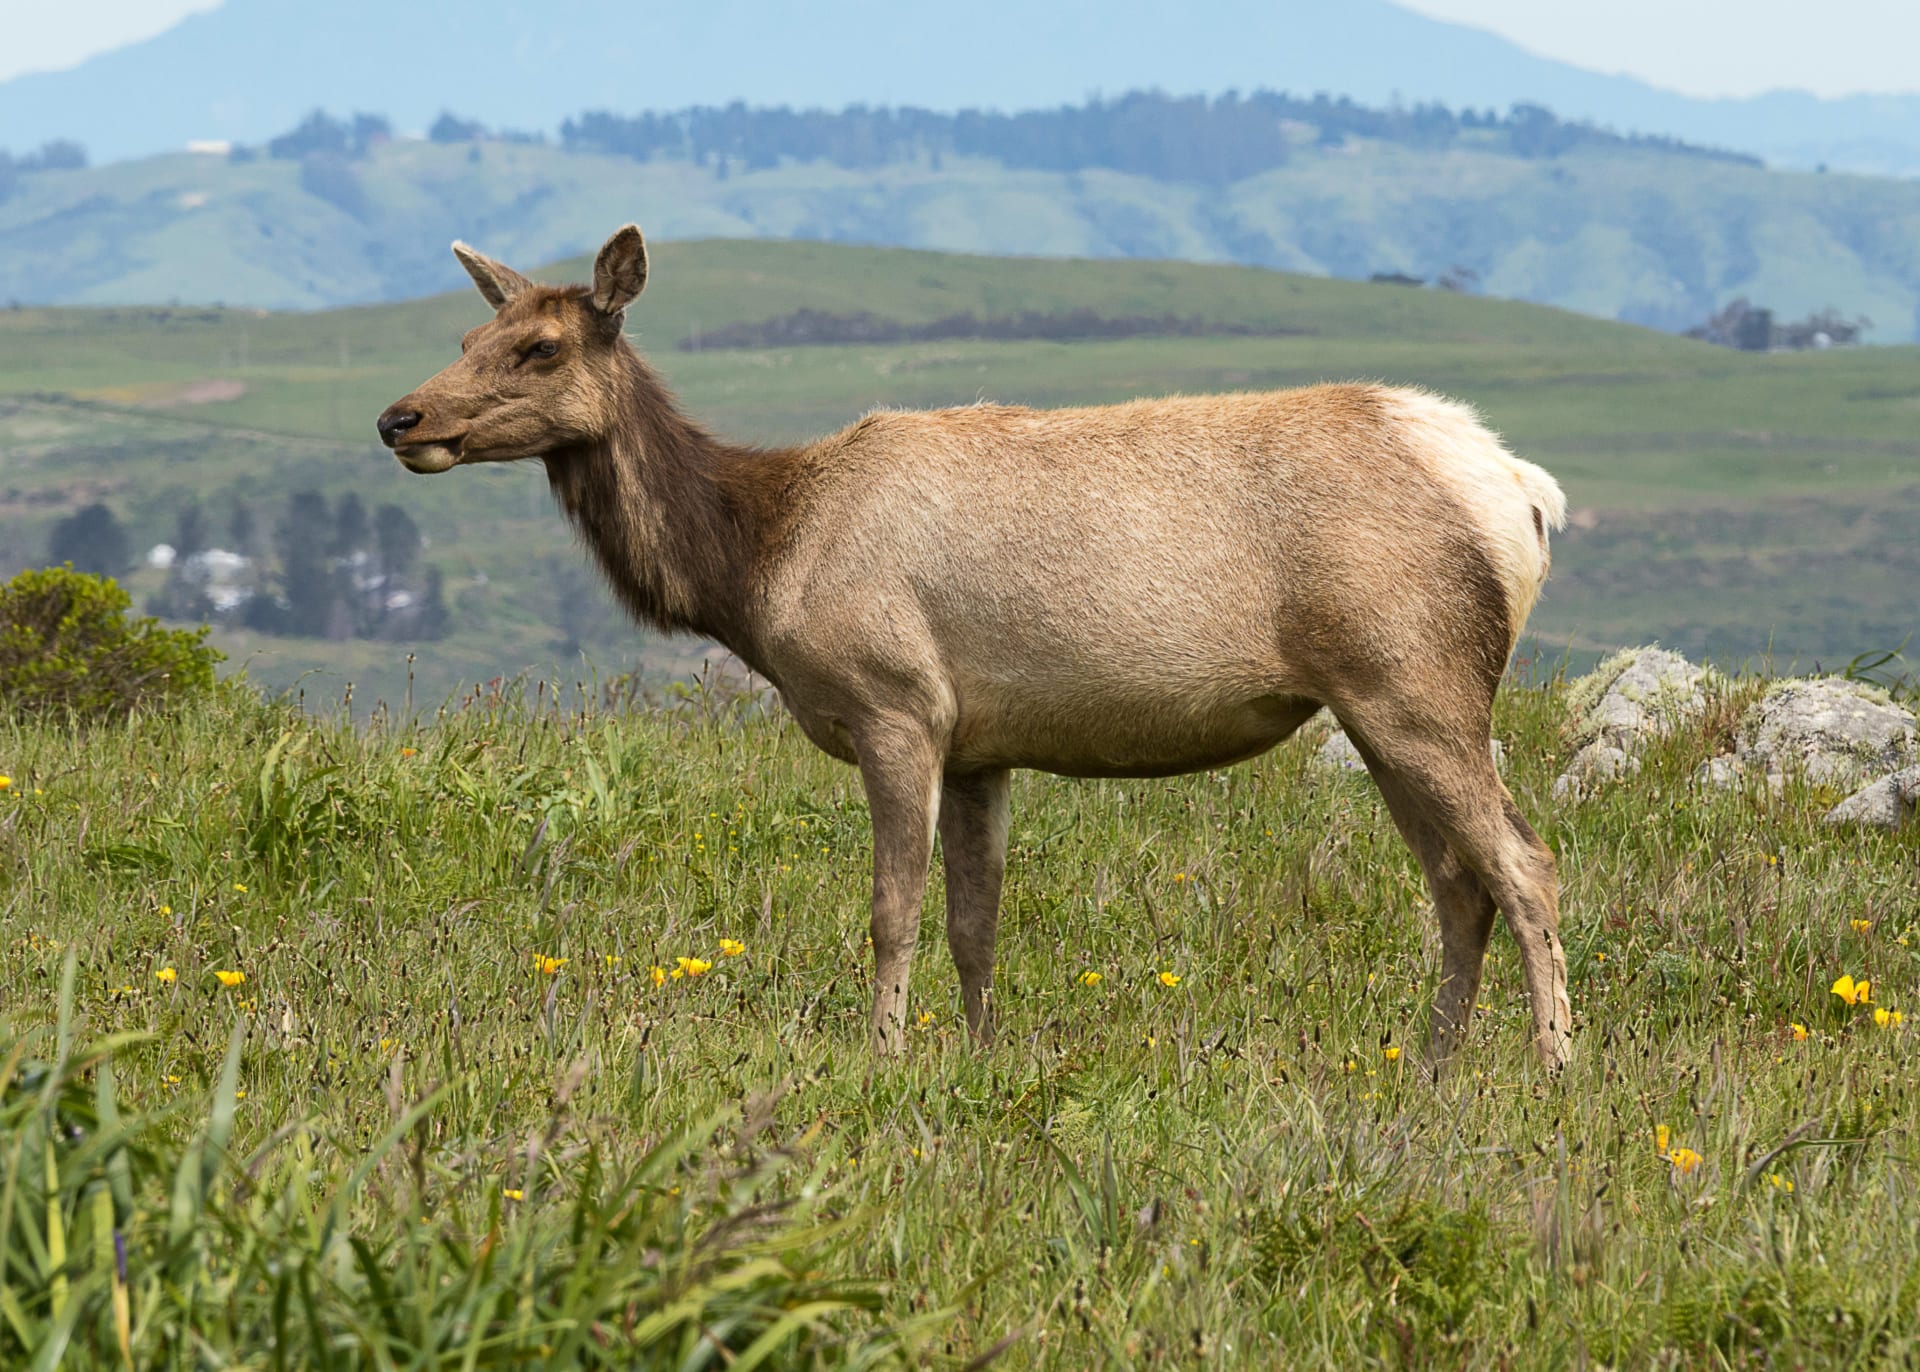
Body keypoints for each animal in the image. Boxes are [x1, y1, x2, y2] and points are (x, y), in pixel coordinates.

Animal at [377, 224, 1573, 1074]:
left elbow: (890, 910)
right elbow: (974, 920)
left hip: (1414, 677)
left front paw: (882, 1059)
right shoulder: (981, 743)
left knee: (1523, 863)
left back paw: (1554, 1070)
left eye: (540, 347)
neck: (760, 562)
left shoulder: (895, 700)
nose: (400, 418)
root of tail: (1523, 492)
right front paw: (981, 1057)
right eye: (467, 338)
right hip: (1380, 703)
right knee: (1457, 883)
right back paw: (1429, 1070)